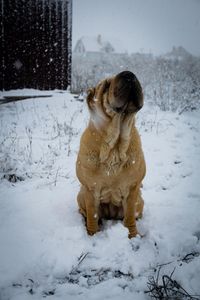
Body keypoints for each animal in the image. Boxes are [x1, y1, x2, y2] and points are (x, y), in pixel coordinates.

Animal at [76, 71, 146, 238]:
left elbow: (129, 216)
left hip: (140, 200)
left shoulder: (133, 189)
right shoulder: (90, 189)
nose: (129, 74)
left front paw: (132, 236)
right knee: (86, 212)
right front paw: (92, 234)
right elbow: (92, 216)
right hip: (81, 194)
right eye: (107, 86)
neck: (114, 147)